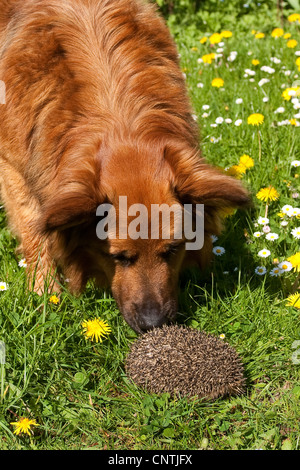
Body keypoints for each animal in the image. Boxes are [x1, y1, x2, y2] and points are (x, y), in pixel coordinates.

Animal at [0, 0, 248, 334]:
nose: (153, 324)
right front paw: (45, 295)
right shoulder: (12, 165)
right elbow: (33, 229)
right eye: (119, 257)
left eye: (172, 250)